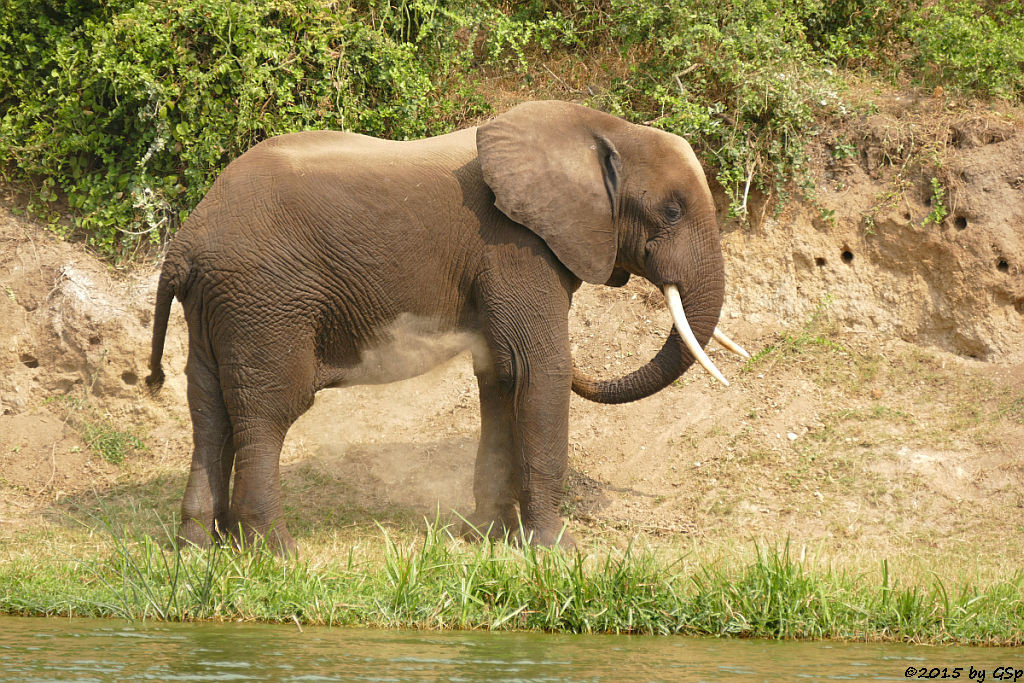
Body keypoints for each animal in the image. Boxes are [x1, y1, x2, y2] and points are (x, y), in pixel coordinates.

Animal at [146, 98, 745, 552]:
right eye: (671, 212)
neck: (601, 127)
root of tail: (185, 243)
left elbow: (502, 376)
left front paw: (490, 538)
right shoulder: (514, 246)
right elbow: (538, 371)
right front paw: (556, 551)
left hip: (218, 310)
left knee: (210, 413)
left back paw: (197, 548)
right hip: (265, 303)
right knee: (267, 413)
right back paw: (275, 554)